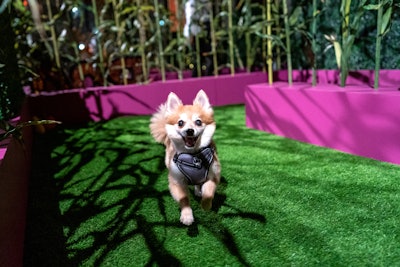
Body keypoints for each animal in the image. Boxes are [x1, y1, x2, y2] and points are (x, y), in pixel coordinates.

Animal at [150, 90, 220, 226]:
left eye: (198, 122)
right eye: (180, 123)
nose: (190, 131)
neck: (193, 156)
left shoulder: (213, 176)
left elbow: (208, 193)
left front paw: (206, 205)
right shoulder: (176, 182)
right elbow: (184, 198)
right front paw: (187, 215)